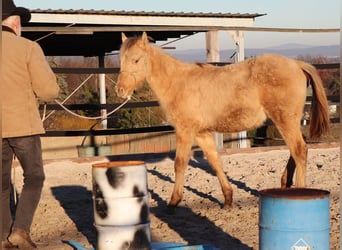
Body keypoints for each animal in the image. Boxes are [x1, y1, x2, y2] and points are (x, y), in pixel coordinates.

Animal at [116, 32, 330, 209]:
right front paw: (228, 198)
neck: (177, 83)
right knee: (297, 149)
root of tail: (296, 64)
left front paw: (174, 201)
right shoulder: (202, 134)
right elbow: (215, 161)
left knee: (299, 150)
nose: (120, 91)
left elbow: (180, 164)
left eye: (136, 60)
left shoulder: (185, 131)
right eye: (121, 59)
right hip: (289, 121)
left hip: (284, 119)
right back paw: (285, 182)